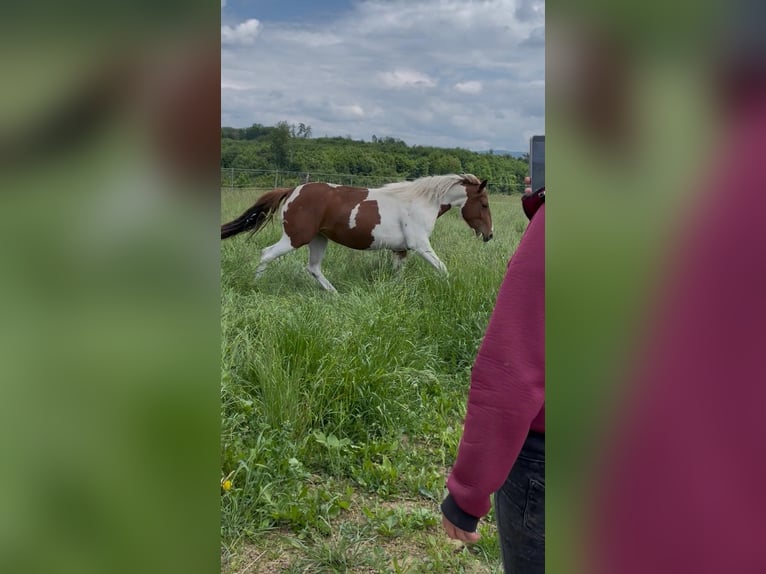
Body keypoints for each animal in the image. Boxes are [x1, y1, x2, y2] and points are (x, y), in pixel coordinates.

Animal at [220, 173, 493, 292]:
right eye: (484, 204)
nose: (489, 235)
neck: (421, 202)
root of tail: (292, 190)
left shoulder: (401, 250)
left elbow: (397, 274)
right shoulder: (420, 246)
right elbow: (443, 269)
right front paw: (451, 287)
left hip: (319, 239)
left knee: (313, 268)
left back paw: (334, 294)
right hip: (295, 238)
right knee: (266, 254)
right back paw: (255, 285)